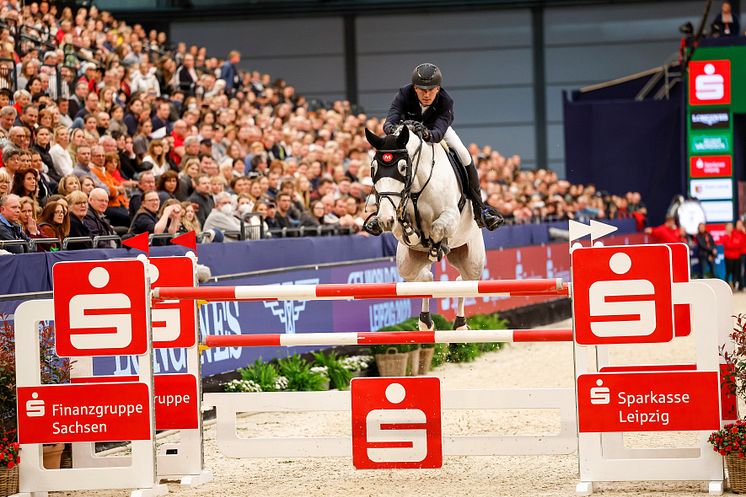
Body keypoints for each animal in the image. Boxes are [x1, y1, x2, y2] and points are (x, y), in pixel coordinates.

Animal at [364, 123, 486, 330]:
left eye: (403, 167)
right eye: (373, 168)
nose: (385, 219)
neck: (415, 187)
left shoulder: (450, 215)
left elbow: (438, 228)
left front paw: (437, 247)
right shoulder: (398, 225)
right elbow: (407, 231)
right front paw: (413, 231)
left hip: (473, 260)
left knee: (465, 281)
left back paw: (460, 324)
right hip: (408, 263)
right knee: (425, 279)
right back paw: (425, 322)